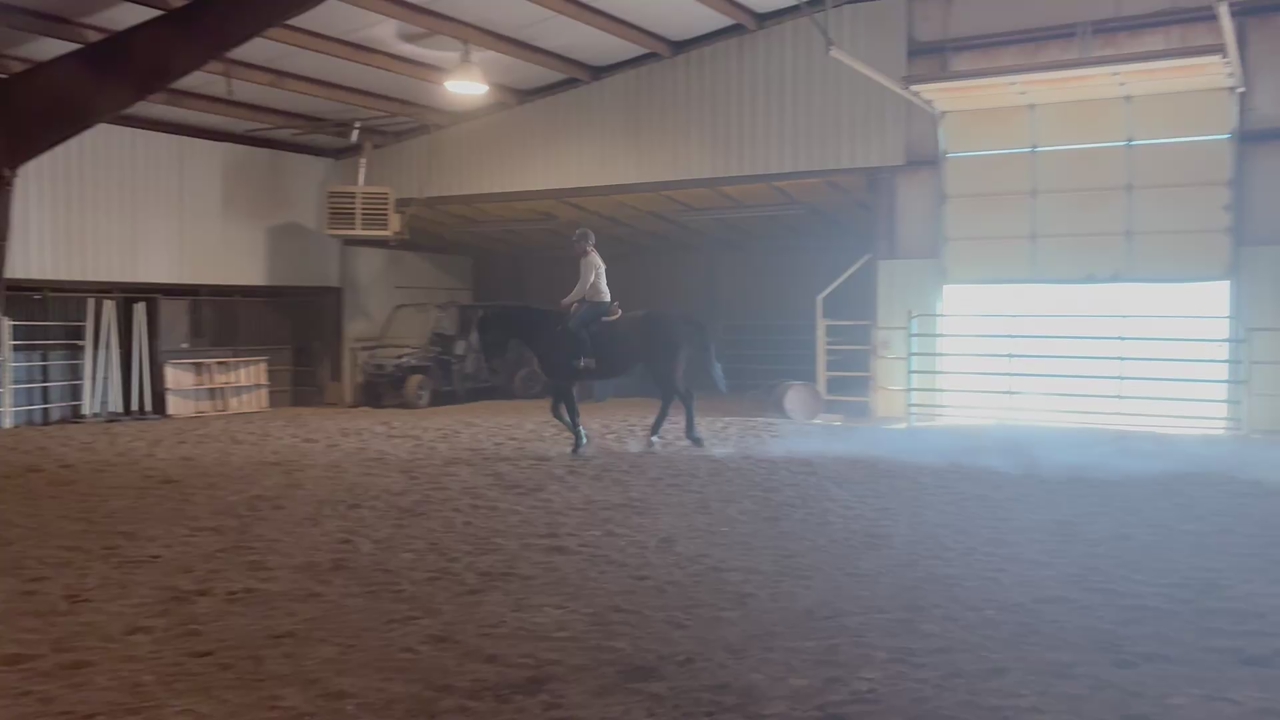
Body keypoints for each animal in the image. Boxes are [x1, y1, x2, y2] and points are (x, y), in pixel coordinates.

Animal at [475, 304, 727, 454]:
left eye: (488, 332)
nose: (491, 367)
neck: (549, 331)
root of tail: (679, 318)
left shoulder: (565, 381)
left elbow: (571, 411)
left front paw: (579, 443)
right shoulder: (560, 381)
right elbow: (558, 411)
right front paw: (584, 437)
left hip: (664, 369)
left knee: (684, 397)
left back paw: (692, 437)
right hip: (661, 369)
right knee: (671, 397)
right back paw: (653, 436)